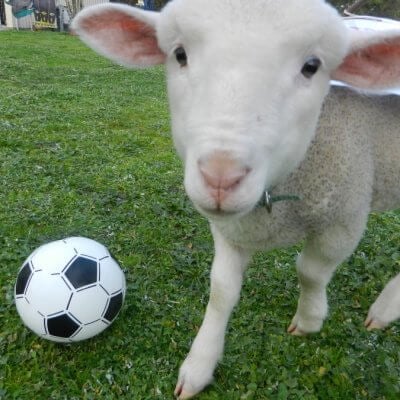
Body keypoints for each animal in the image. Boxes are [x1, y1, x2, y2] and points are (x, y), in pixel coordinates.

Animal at [70, 1, 398, 398]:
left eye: (312, 66)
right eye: (179, 54)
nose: (221, 177)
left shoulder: (344, 219)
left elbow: (310, 271)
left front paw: (308, 319)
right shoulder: (229, 228)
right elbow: (222, 290)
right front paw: (199, 364)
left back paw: (384, 309)